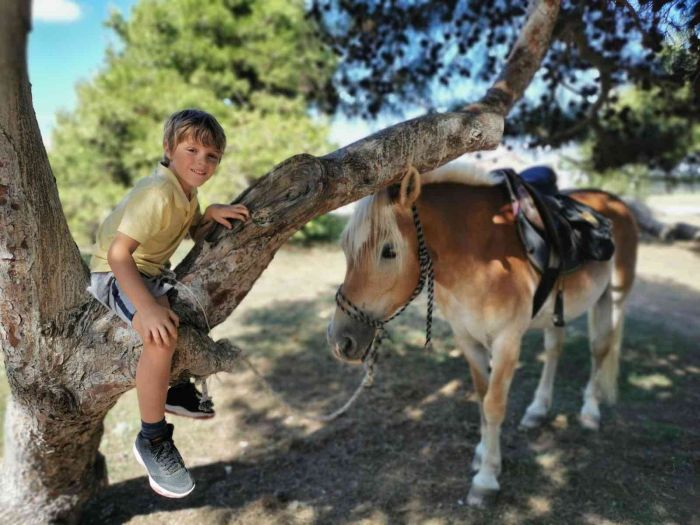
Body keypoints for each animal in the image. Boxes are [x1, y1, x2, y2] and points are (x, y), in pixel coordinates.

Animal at [326, 162, 636, 506]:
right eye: (345, 250)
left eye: (389, 251)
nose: (340, 341)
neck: (479, 258)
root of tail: (615, 203)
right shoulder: (468, 339)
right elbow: (481, 399)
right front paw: (485, 455)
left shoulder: (506, 342)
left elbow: (494, 405)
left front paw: (486, 480)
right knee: (555, 349)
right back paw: (538, 410)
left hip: (614, 297)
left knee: (600, 349)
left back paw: (590, 411)